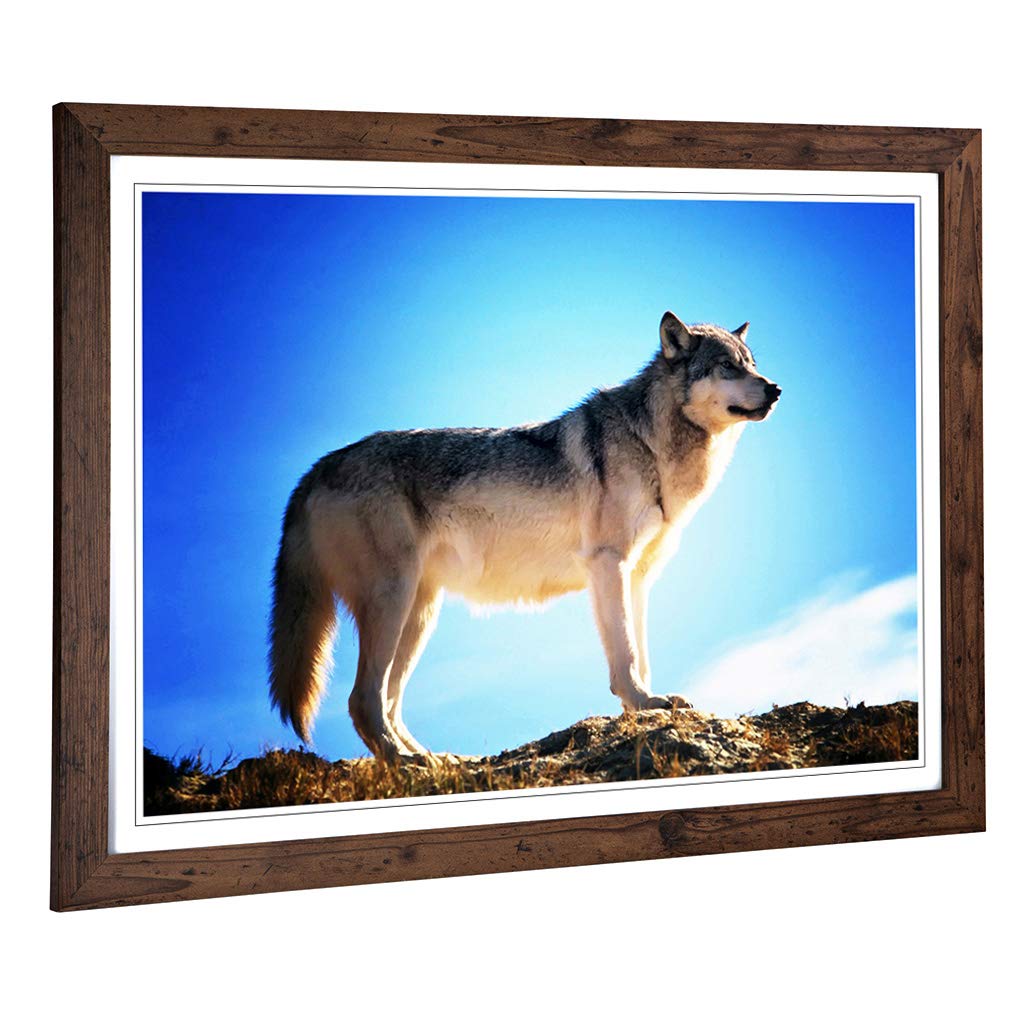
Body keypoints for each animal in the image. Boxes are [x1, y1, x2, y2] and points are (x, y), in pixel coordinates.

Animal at [269, 310, 780, 759]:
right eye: (728, 366)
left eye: (752, 363)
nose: (776, 389)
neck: (650, 443)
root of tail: (316, 469)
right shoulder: (608, 564)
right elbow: (626, 654)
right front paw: (641, 703)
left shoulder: (637, 578)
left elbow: (642, 652)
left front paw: (648, 706)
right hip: (393, 602)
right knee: (362, 699)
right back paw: (405, 762)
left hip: (419, 615)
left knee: (388, 703)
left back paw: (434, 760)